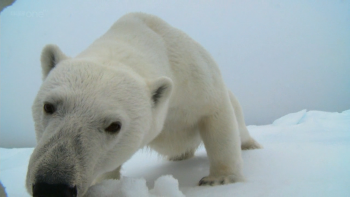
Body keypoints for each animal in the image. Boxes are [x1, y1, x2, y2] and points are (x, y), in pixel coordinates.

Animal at [25, 13, 260, 196]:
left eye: (114, 126)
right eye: (49, 106)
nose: (52, 187)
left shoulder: (195, 78)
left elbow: (216, 117)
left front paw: (219, 179)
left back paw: (250, 145)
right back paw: (179, 155)